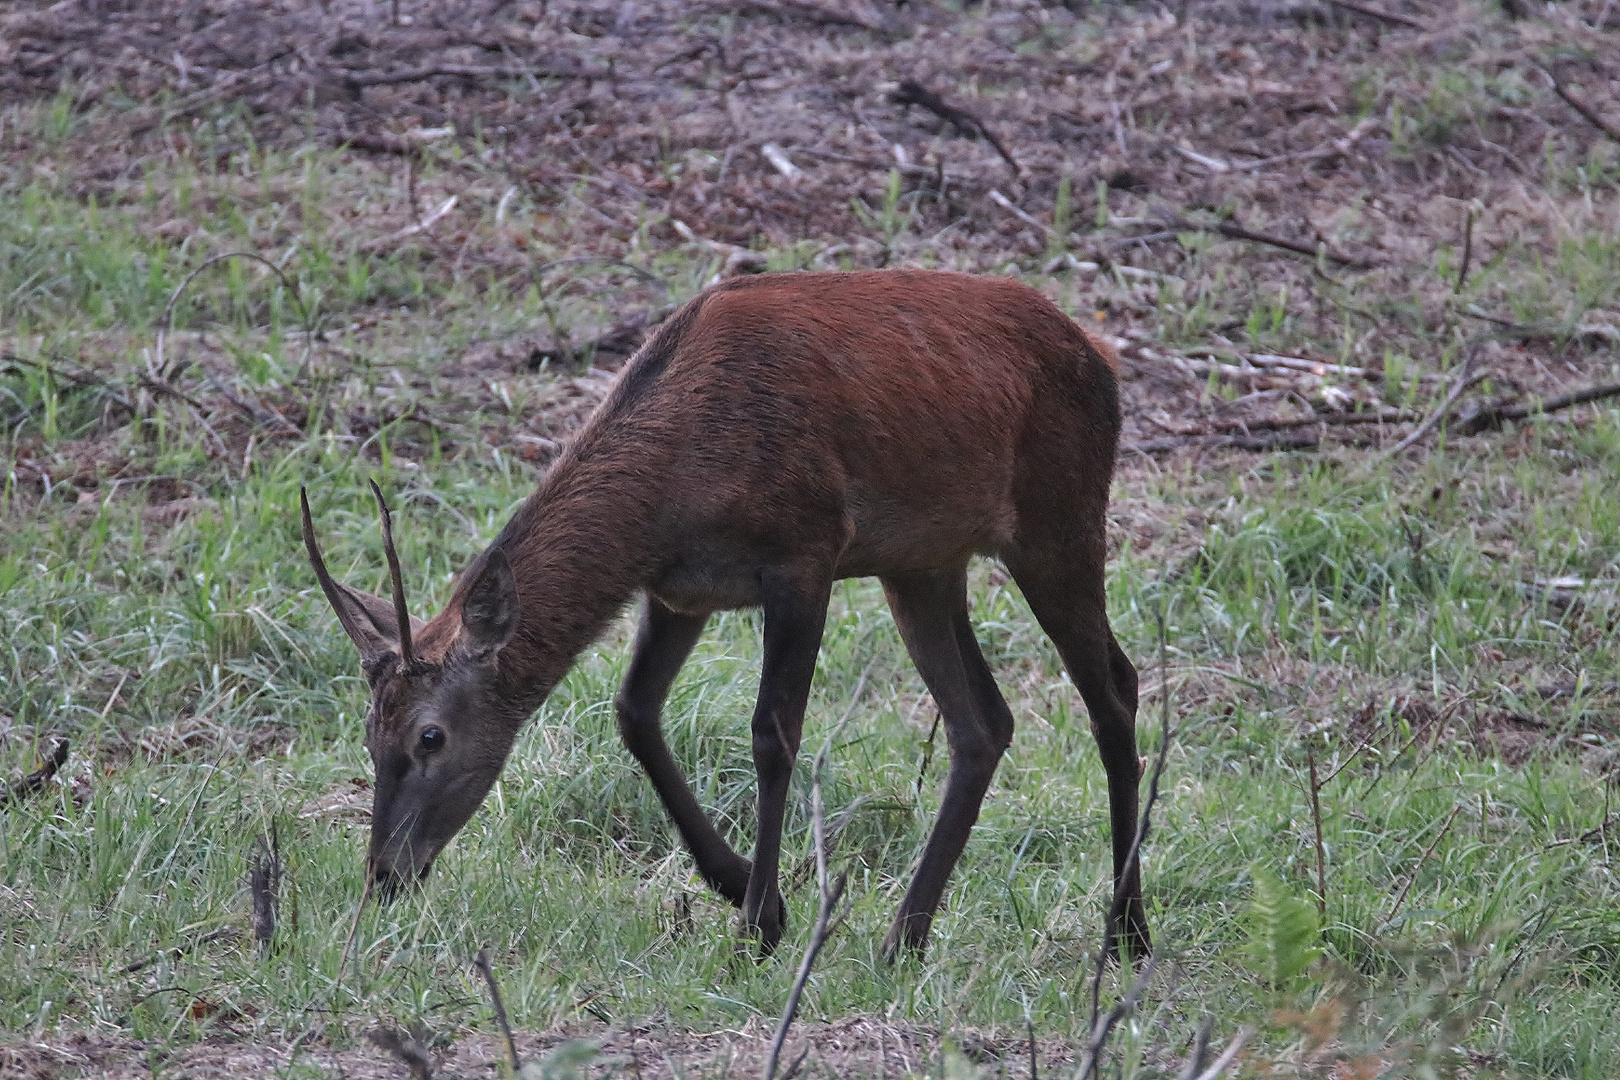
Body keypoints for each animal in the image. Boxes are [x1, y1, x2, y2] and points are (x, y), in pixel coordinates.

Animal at [304, 270, 1153, 965]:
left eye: (430, 737)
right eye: (369, 734)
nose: (384, 872)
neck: (670, 493)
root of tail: (1102, 356)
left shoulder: (806, 550)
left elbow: (772, 734)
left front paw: (758, 923)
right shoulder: (680, 590)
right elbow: (634, 711)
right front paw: (738, 881)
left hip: (1059, 516)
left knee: (1115, 688)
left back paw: (1126, 931)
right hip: (922, 563)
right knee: (983, 721)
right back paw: (904, 938)